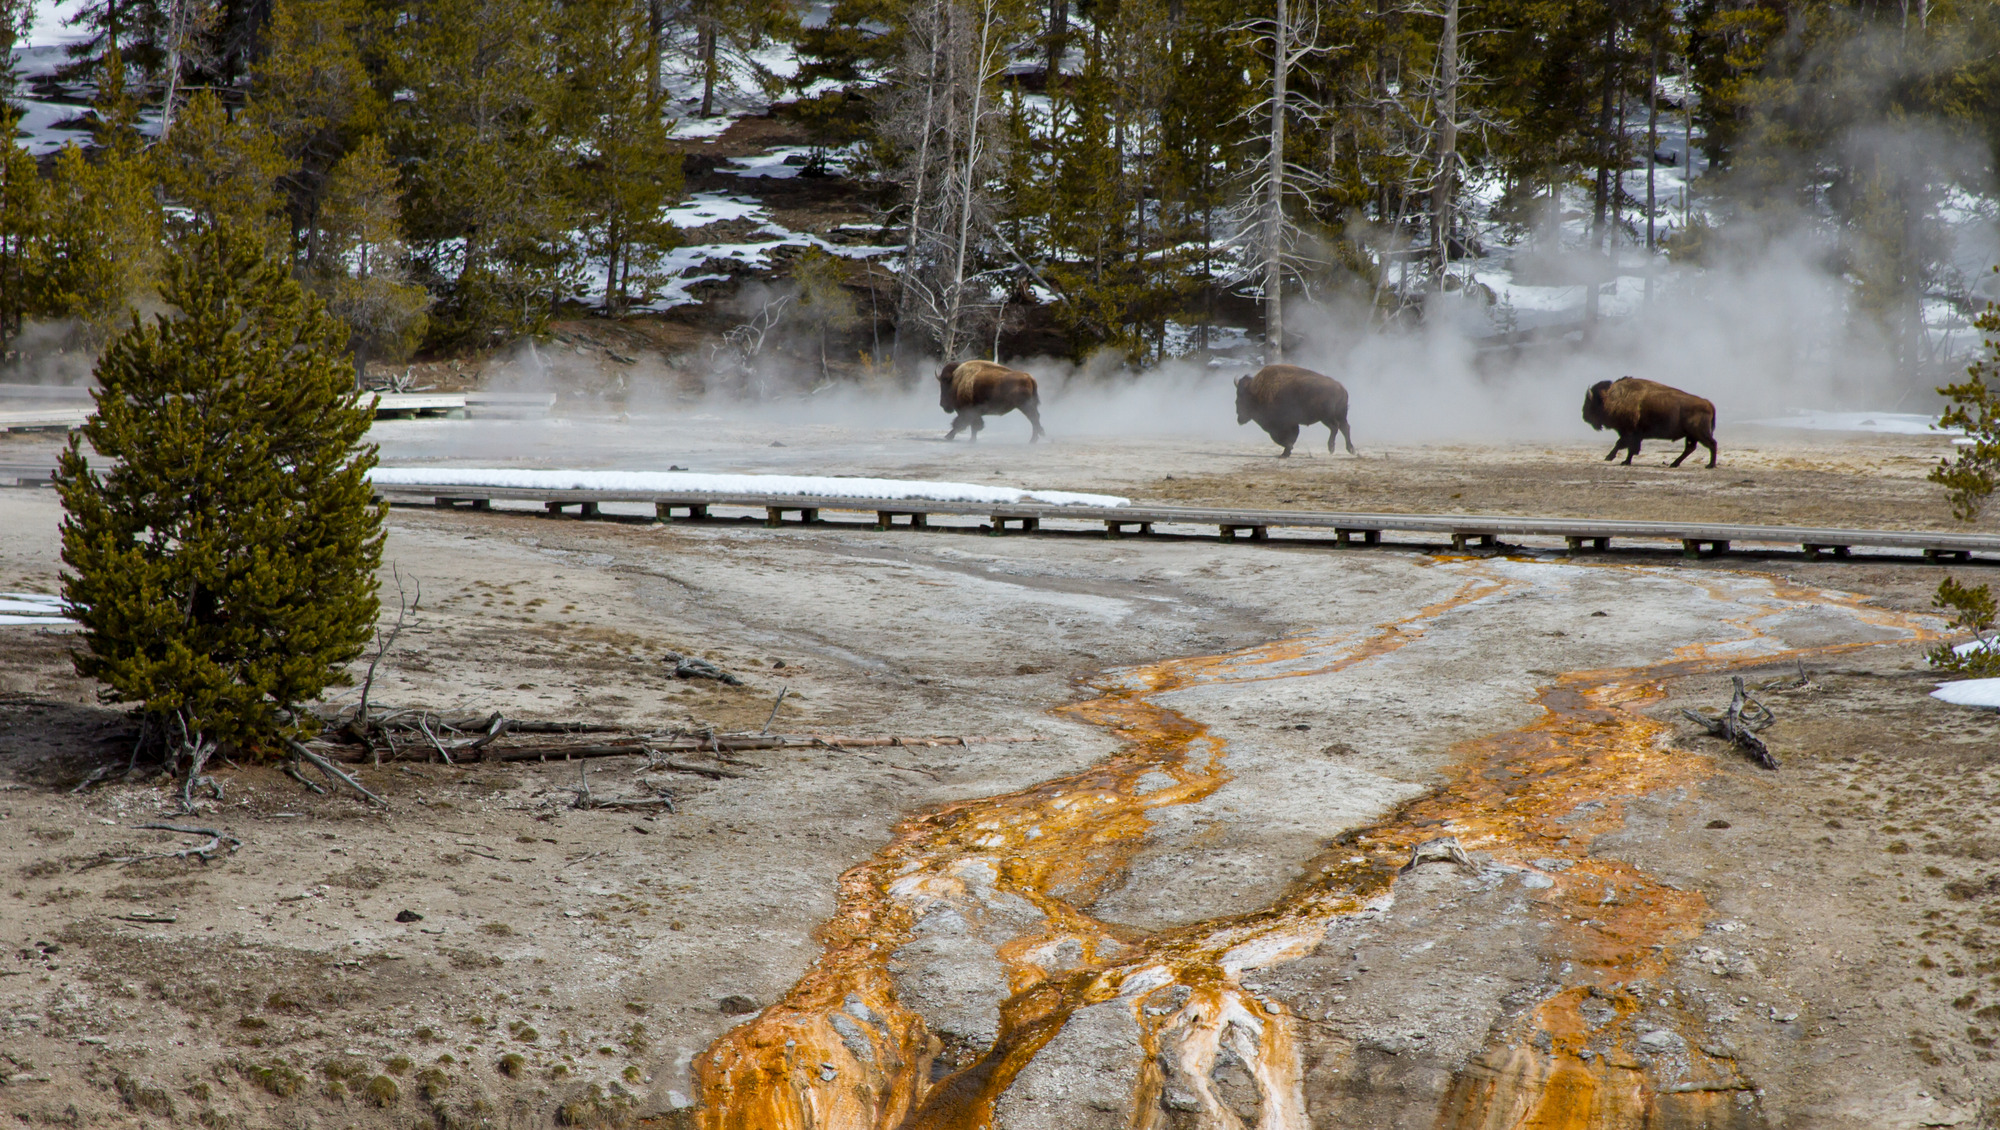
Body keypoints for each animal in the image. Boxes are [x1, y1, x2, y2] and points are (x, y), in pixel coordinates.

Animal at [1582, 376, 1718, 468]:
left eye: (1589, 403)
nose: (1584, 416)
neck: (1611, 399)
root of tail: (1707, 403)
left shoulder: (1629, 432)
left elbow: (1622, 444)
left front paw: (1611, 458)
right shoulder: (1634, 435)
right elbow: (1630, 448)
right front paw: (1624, 461)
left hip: (1699, 433)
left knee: (1711, 444)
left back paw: (1710, 465)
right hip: (1691, 435)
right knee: (1690, 448)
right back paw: (1674, 464)